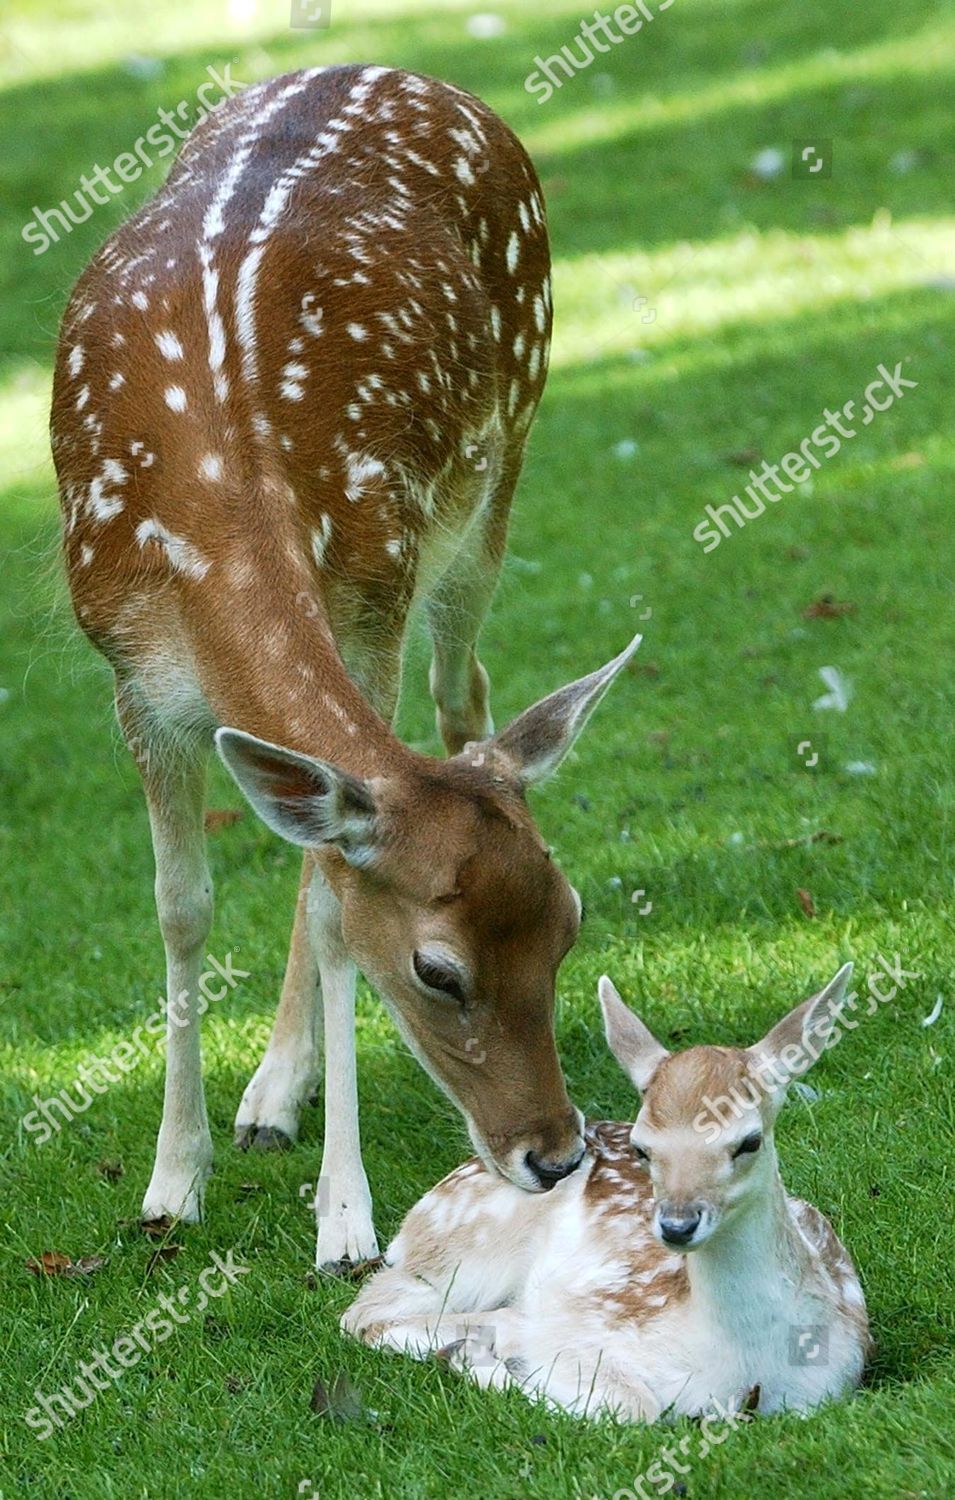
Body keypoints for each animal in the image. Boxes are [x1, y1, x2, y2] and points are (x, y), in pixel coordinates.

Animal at [50, 70, 632, 1266]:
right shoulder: (132, 676)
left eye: (569, 924)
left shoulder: (373, 598)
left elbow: (328, 903)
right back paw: (269, 1097)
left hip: (500, 466)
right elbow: (183, 906)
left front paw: (345, 1220)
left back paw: (279, 1090)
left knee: (465, 698)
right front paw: (173, 1182)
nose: (553, 1154)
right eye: (438, 970)